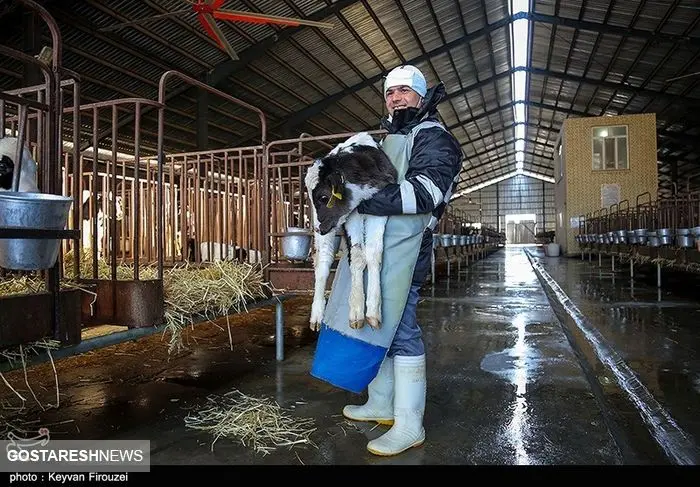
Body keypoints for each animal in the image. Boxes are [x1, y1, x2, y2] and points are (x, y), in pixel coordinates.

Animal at [304, 132, 396, 332]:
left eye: (324, 197)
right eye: (314, 199)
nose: (318, 228)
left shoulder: (382, 206)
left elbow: (374, 254)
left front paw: (373, 311)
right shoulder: (351, 215)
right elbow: (358, 256)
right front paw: (356, 309)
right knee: (323, 260)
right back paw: (317, 314)